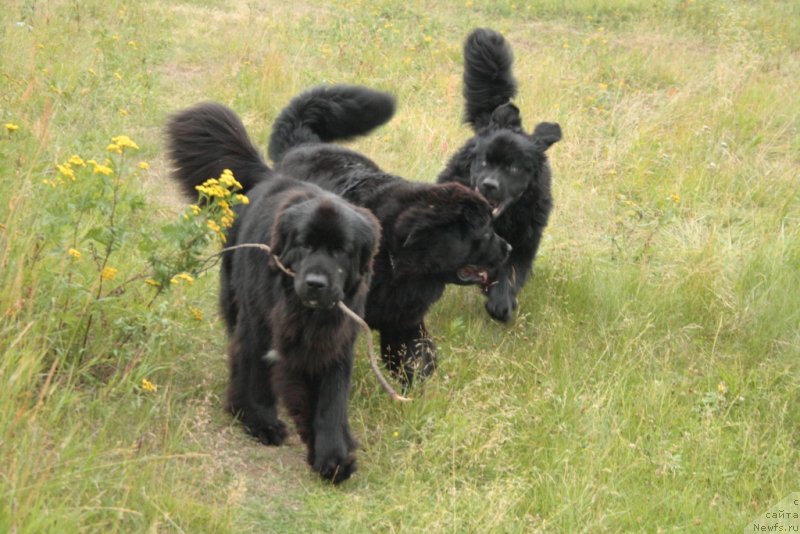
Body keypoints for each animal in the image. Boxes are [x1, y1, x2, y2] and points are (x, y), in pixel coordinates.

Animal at [164, 101, 382, 486]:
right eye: (305, 244)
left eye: (341, 251)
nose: (315, 282)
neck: (303, 311)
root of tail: (267, 176)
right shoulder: (259, 325)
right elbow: (255, 373)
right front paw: (259, 421)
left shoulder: (337, 341)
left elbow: (332, 399)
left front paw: (333, 456)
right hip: (233, 297)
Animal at [266, 84, 510, 386]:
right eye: (486, 231)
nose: (508, 248)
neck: (399, 260)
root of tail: (302, 145)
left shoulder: (404, 320)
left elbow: (417, 359)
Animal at [438, 29, 564, 324]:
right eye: (485, 161)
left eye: (514, 169)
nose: (489, 184)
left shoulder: (525, 240)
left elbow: (512, 273)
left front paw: (501, 303)